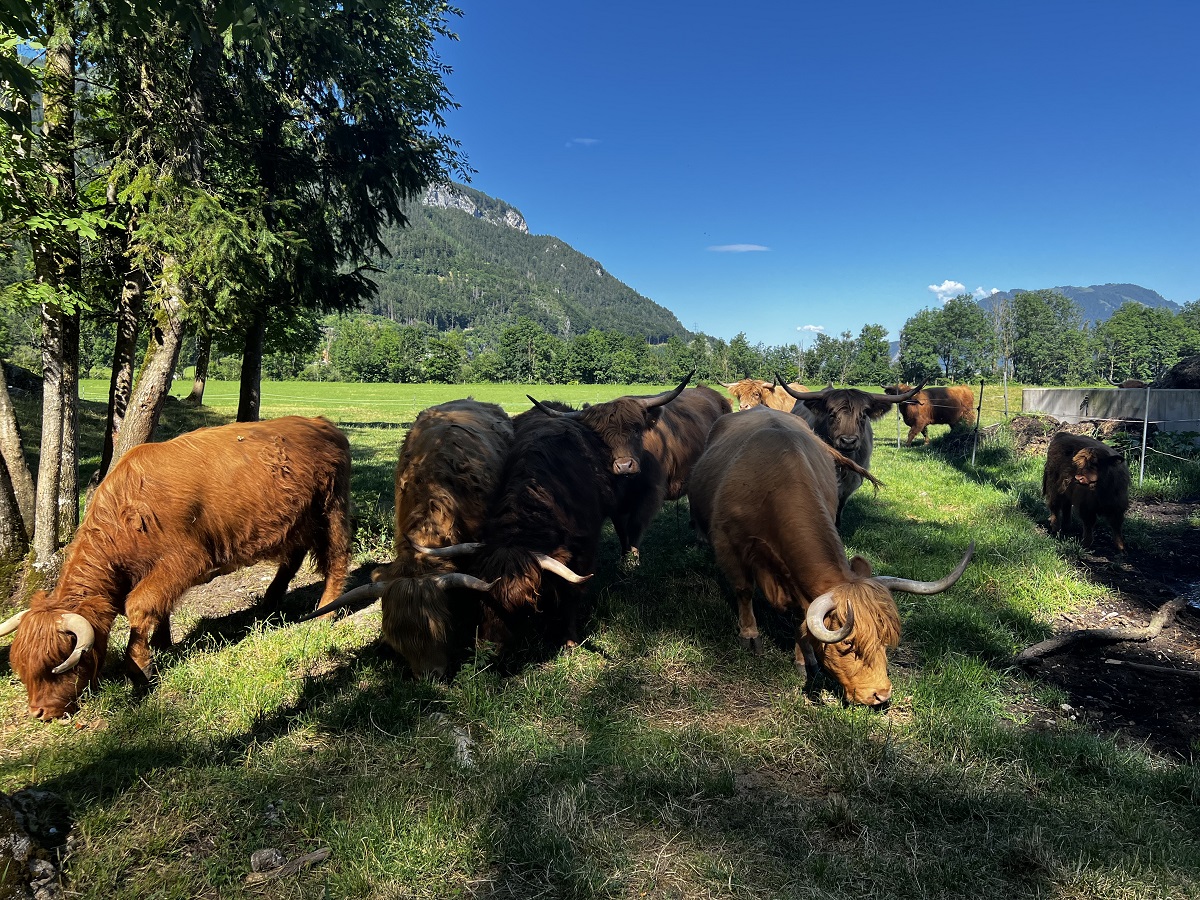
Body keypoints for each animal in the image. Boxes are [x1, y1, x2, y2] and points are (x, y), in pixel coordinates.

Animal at [2, 415, 350, 720]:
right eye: (22, 668)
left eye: (60, 665)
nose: (39, 713)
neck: (126, 513)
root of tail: (320, 423)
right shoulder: (159, 571)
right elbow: (160, 606)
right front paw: (162, 643)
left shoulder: (185, 559)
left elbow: (139, 606)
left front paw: (140, 668)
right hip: (295, 521)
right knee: (293, 558)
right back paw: (270, 602)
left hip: (331, 510)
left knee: (337, 558)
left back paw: (326, 612)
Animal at [691, 408, 969, 710]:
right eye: (847, 645)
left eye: (885, 639)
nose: (881, 694)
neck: (771, 485)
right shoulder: (728, 543)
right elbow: (743, 590)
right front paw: (750, 635)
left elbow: (801, 616)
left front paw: (803, 660)